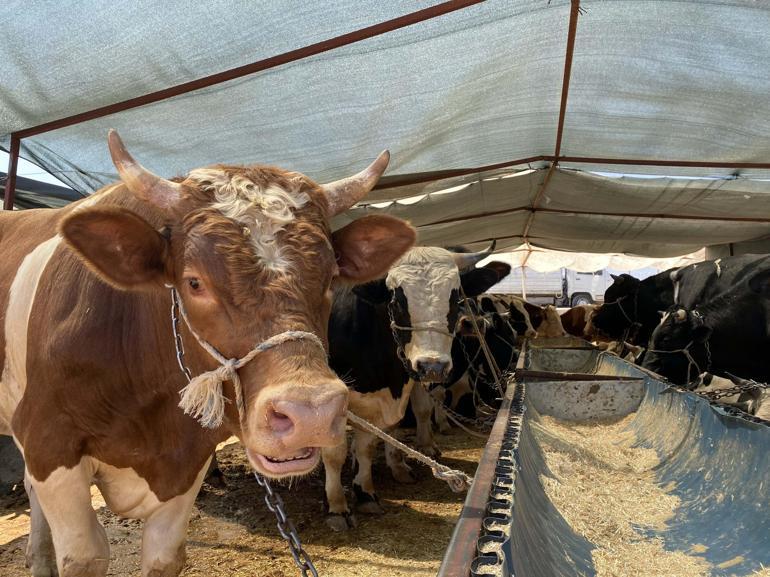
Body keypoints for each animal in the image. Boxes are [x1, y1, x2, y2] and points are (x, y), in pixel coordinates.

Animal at [0, 132, 414, 576]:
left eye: (330, 279)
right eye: (194, 282)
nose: (311, 413)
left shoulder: (189, 460)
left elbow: (163, 557)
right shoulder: (49, 445)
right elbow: (85, 555)